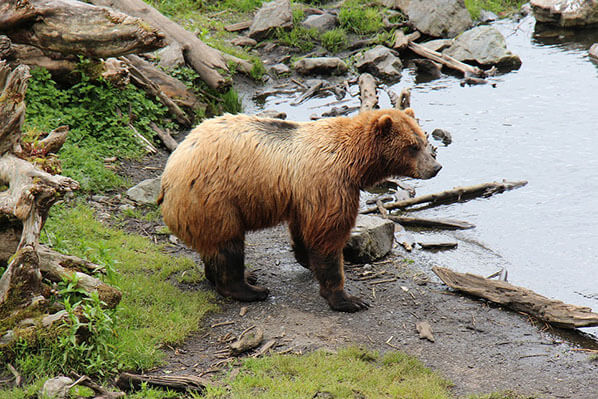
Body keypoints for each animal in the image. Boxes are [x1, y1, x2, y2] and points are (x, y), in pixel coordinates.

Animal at [157, 108, 442, 312]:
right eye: (413, 146)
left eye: (423, 140)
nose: (436, 167)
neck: (355, 163)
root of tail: (168, 175)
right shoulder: (329, 183)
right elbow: (328, 235)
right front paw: (348, 299)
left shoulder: (304, 194)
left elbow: (305, 229)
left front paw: (307, 259)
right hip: (215, 199)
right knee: (229, 245)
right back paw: (249, 289)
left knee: (214, 246)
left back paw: (239, 276)